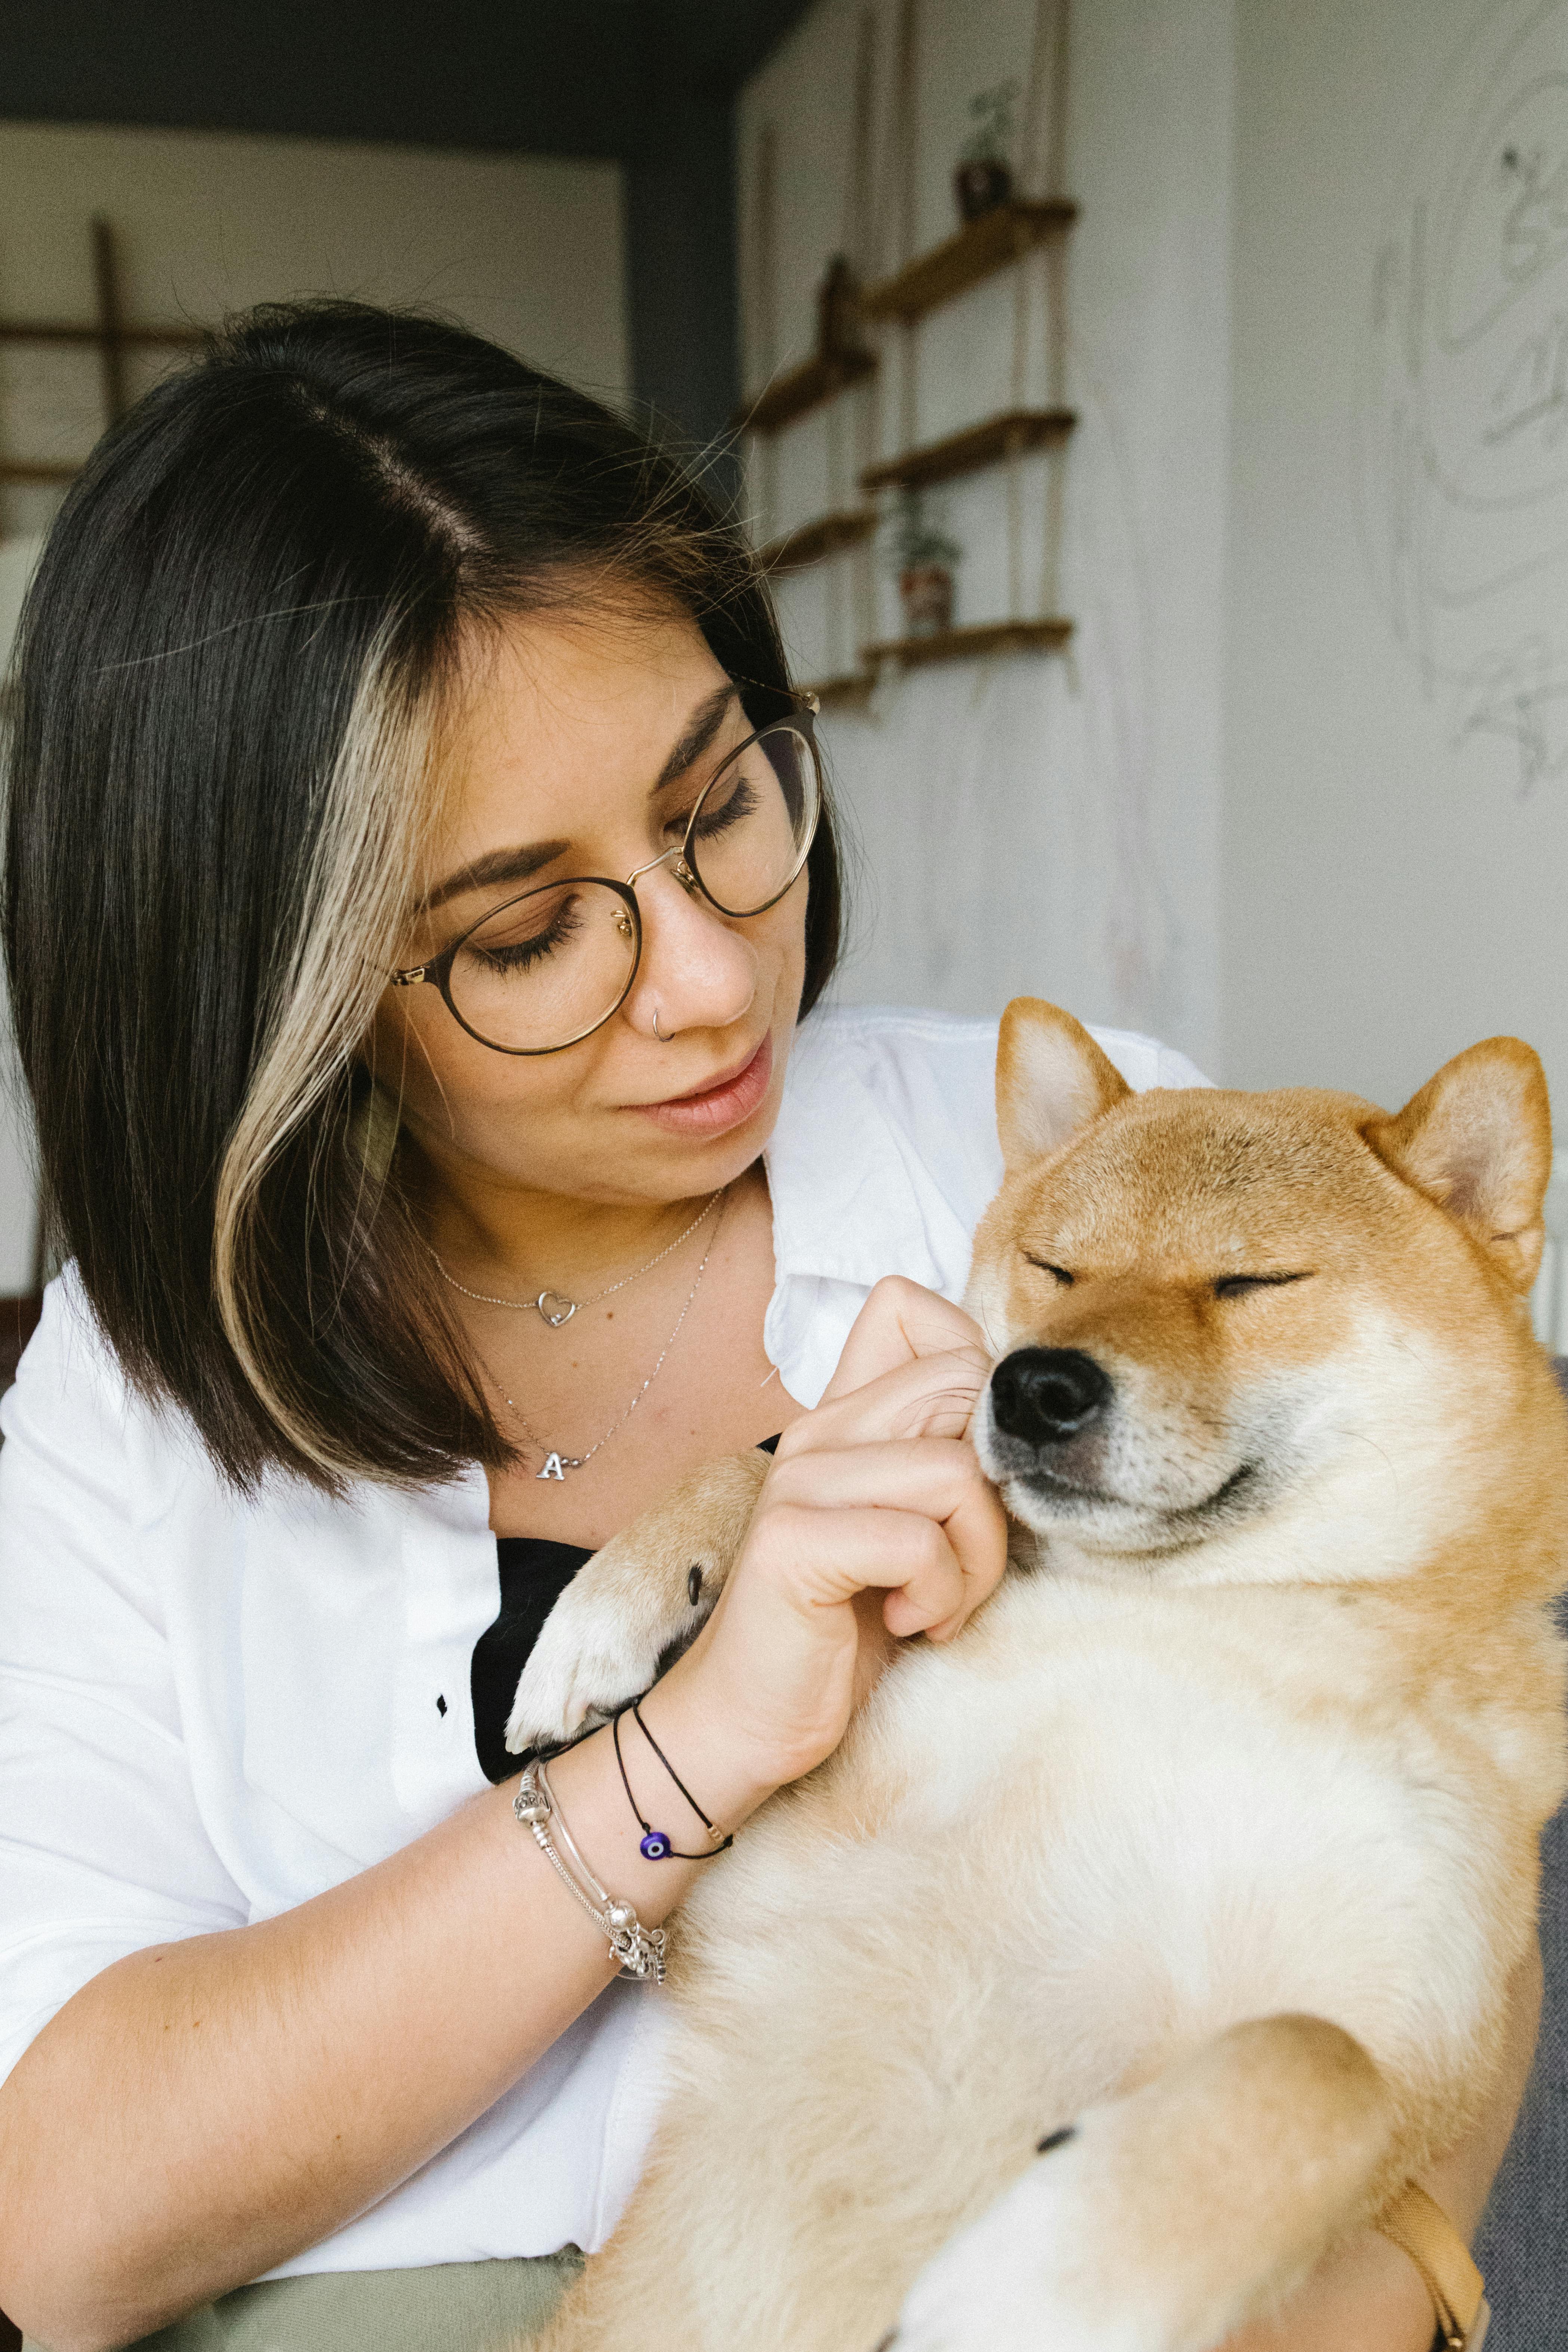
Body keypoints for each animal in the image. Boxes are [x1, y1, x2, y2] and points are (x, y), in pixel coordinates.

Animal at [510, 997, 1561, 2352]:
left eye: (1249, 1281)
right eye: (1056, 1267)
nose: (1033, 1383)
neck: (1184, 1619)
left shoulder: (1411, 2052)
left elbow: (1313, 2060)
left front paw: (1042, 2278)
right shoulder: (766, 1885)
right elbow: (777, 1457)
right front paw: (617, 1603)